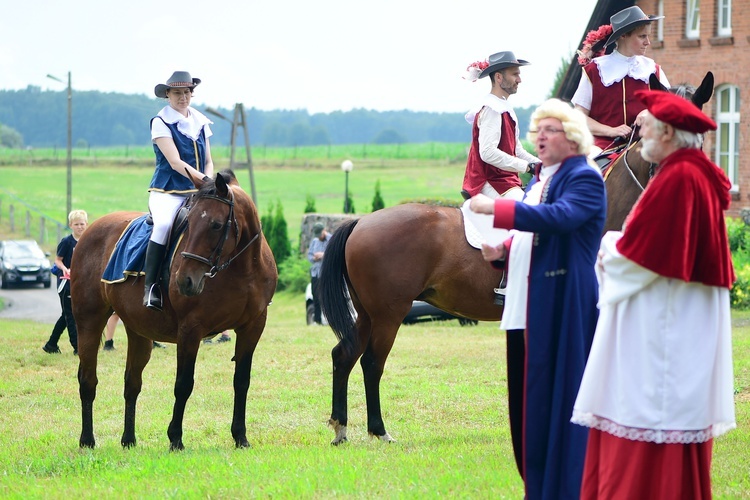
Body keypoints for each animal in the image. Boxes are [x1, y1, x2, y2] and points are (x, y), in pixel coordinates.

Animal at [72, 170, 278, 452]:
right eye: (188, 223)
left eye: (216, 225)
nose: (185, 281)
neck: (242, 269)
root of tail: (90, 230)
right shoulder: (191, 329)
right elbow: (183, 384)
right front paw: (176, 439)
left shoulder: (253, 326)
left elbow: (241, 381)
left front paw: (240, 436)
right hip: (89, 322)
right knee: (88, 380)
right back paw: (87, 440)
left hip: (139, 331)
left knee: (131, 383)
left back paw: (128, 440)